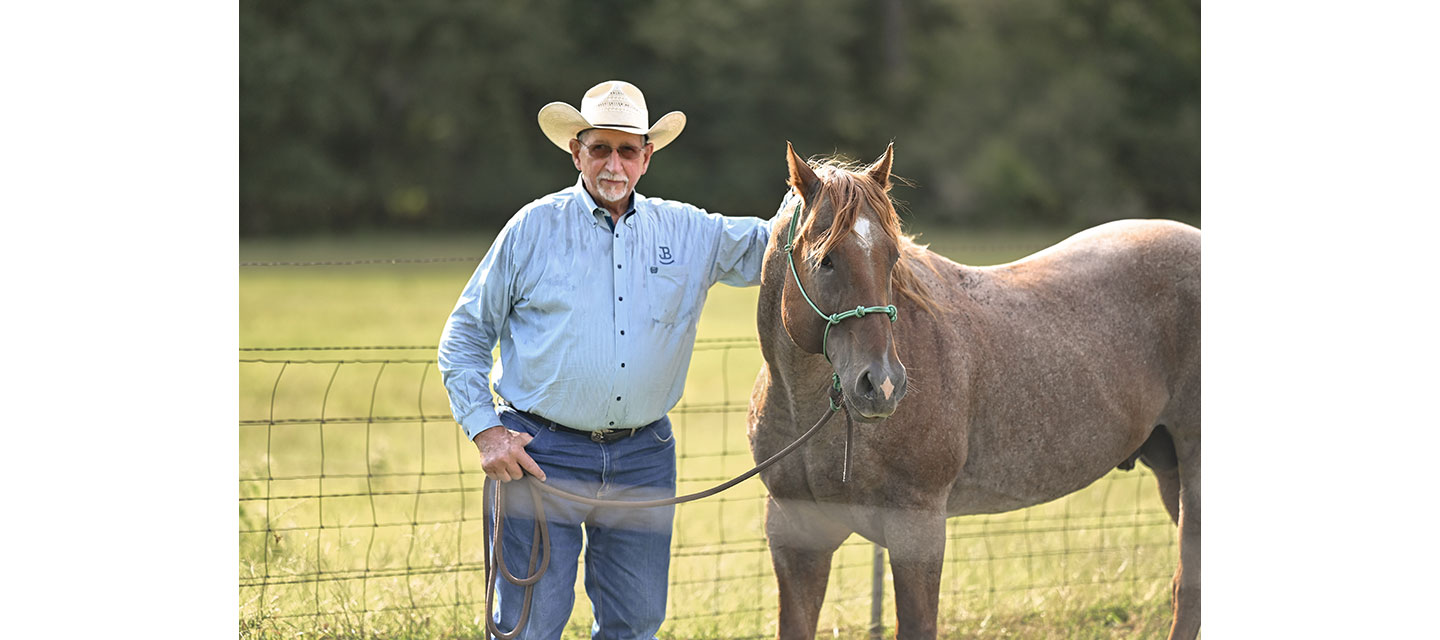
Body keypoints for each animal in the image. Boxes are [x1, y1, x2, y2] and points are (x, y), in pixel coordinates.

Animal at [747, 143, 1200, 639]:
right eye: (825, 259)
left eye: (892, 257)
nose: (882, 384)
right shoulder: (797, 536)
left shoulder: (918, 528)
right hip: (1170, 471)